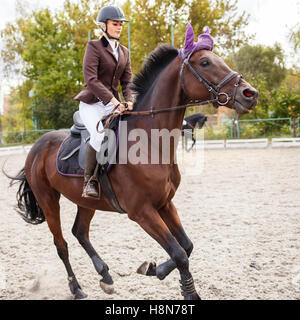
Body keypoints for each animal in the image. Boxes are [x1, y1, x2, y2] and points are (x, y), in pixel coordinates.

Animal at [5, 25, 258, 300]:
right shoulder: (142, 212)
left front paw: (154, 269)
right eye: (204, 62)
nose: (250, 94)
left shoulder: (164, 204)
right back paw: (76, 288)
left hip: (86, 200)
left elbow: (187, 246)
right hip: (48, 199)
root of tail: (37, 146)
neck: (151, 144)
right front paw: (186, 290)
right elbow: (180, 254)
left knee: (79, 232)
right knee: (61, 243)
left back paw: (105, 276)